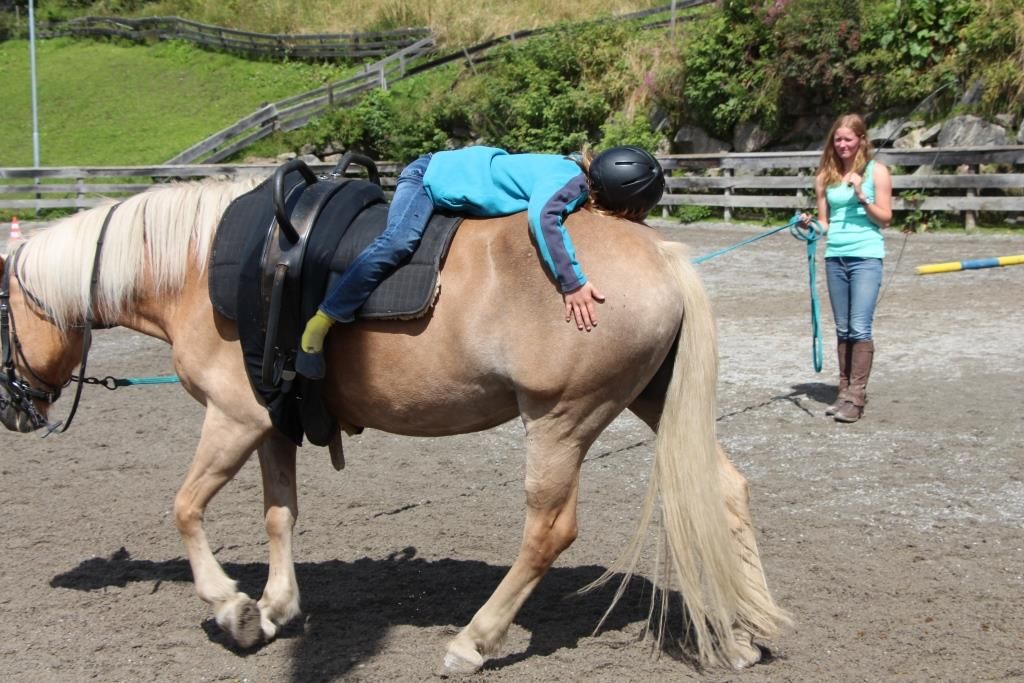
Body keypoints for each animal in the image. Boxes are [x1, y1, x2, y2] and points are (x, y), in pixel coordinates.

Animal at [0, 176, 789, 673]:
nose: (14, 408)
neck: (201, 269)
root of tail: (662, 253)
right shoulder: (273, 424)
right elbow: (279, 514)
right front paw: (279, 606)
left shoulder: (233, 418)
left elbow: (186, 508)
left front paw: (234, 609)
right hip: (651, 400)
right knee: (726, 489)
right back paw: (747, 631)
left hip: (562, 419)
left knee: (549, 531)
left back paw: (475, 640)